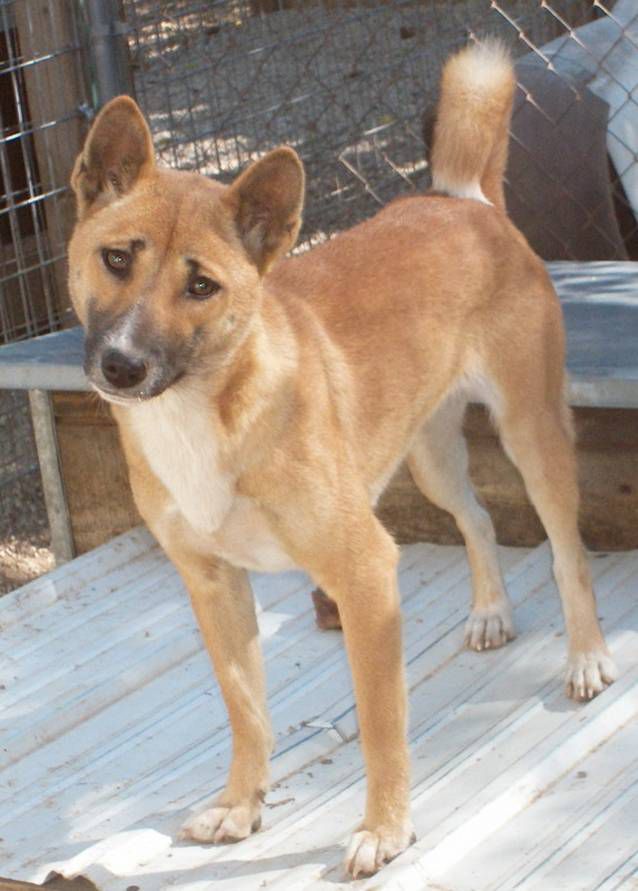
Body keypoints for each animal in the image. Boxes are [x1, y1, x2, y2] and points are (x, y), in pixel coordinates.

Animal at [66, 40, 620, 880]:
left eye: (202, 285)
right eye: (117, 257)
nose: (122, 366)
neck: (209, 411)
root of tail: (463, 203)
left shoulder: (366, 574)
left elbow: (382, 727)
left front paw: (387, 830)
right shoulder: (213, 585)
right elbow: (247, 712)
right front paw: (242, 805)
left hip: (531, 434)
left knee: (566, 552)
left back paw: (586, 656)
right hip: (431, 458)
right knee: (479, 518)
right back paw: (491, 609)